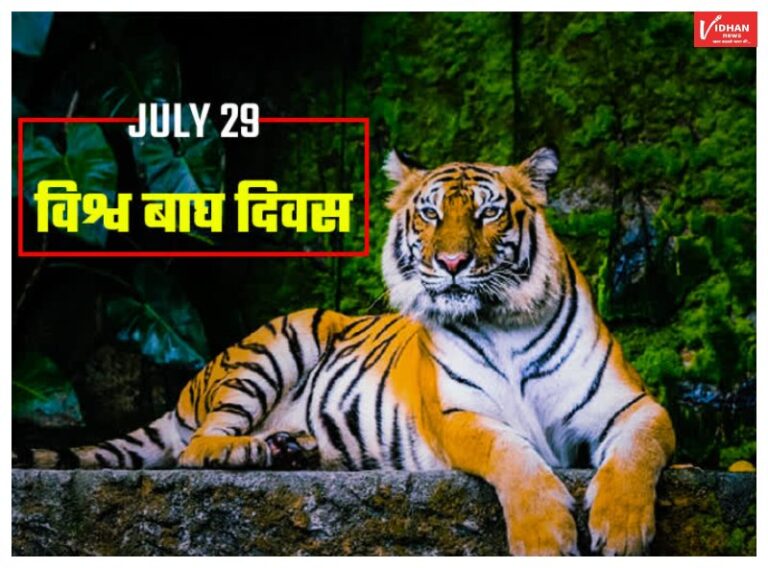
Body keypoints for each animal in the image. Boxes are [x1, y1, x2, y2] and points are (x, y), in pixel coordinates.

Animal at [14, 147, 675, 556]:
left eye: (489, 213)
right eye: (430, 213)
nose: (452, 262)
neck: (503, 319)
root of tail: (190, 385)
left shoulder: (633, 406)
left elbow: (636, 453)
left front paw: (621, 530)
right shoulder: (462, 417)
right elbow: (515, 458)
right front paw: (544, 538)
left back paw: (293, 448)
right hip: (277, 344)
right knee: (196, 447)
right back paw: (258, 450)